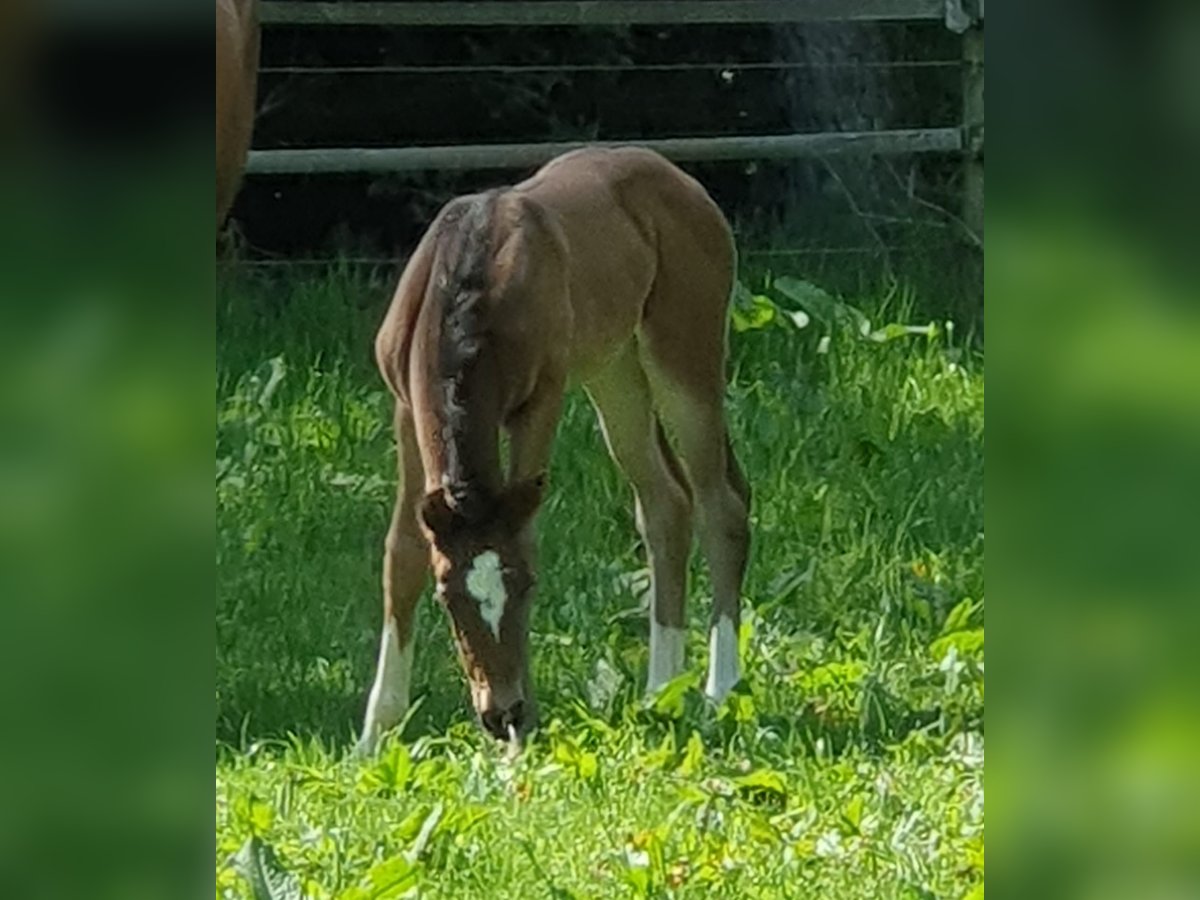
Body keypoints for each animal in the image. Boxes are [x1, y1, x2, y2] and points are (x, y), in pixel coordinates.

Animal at [357, 148, 748, 753]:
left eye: (526, 586)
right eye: (449, 597)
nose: (502, 713)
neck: (466, 282)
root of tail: (683, 181)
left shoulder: (541, 400)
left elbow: (527, 533)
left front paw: (523, 737)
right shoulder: (405, 406)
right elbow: (403, 552)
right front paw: (374, 735)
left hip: (683, 355)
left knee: (718, 504)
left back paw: (718, 689)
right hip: (616, 372)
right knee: (666, 503)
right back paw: (660, 691)